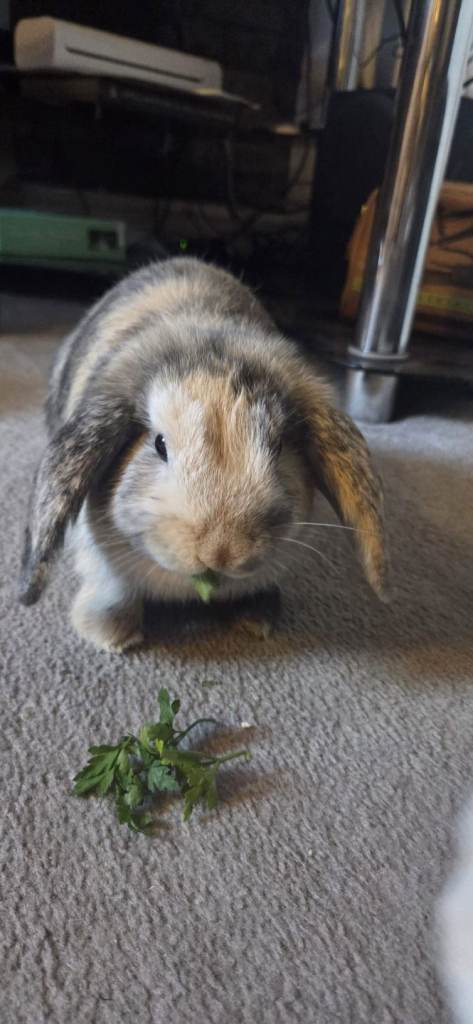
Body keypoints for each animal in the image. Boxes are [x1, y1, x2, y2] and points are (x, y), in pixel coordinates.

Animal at [19, 256, 388, 651]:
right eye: (159, 444)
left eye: (277, 446)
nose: (221, 551)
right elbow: (114, 588)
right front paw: (114, 636)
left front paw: (256, 621)